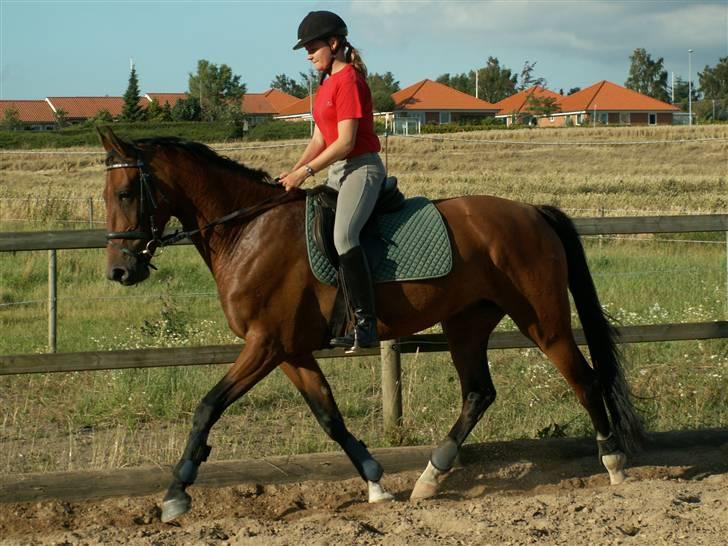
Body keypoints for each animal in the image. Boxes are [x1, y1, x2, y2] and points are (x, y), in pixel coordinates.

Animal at [96, 125, 644, 520]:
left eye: (126, 192)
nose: (120, 271)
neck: (246, 229)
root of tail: (532, 211)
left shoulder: (265, 344)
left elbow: (207, 407)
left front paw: (176, 493)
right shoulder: (289, 350)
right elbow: (330, 417)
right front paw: (376, 482)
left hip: (543, 322)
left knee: (584, 380)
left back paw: (614, 464)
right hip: (466, 323)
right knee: (478, 393)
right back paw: (429, 478)